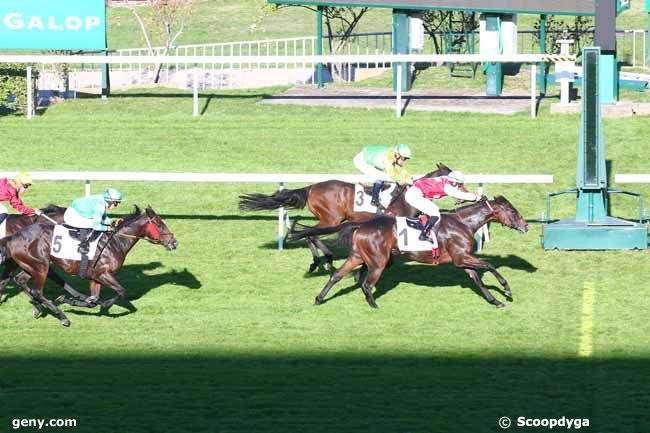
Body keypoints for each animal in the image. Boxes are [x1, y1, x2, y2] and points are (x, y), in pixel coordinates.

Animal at [0, 205, 177, 324]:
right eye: (160, 224)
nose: (174, 242)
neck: (115, 242)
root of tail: (13, 237)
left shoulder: (95, 277)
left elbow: (93, 299)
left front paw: (71, 300)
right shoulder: (104, 274)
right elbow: (120, 292)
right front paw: (100, 304)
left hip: (30, 266)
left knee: (20, 281)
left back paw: (40, 308)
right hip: (41, 266)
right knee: (36, 291)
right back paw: (63, 317)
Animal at [238, 162, 456, 270]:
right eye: (453, 179)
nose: (461, 188)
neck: (404, 198)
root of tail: (311, 188)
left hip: (331, 219)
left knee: (311, 234)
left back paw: (322, 260)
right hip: (330, 218)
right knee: (312, 233)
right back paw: (323, 260)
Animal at [288, 196, 528, 308]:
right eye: (513, 211)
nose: (526, 226)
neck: (463, 223)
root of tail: (362, 225)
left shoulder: (462, 261)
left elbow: (477, 280)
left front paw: (495, 301)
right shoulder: (461, 257)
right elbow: (489, 265)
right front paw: (507, 290)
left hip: (357, 256)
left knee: (337, 275)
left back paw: (319, 298)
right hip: (378, 261)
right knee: (367, 284)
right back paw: (374, 304)